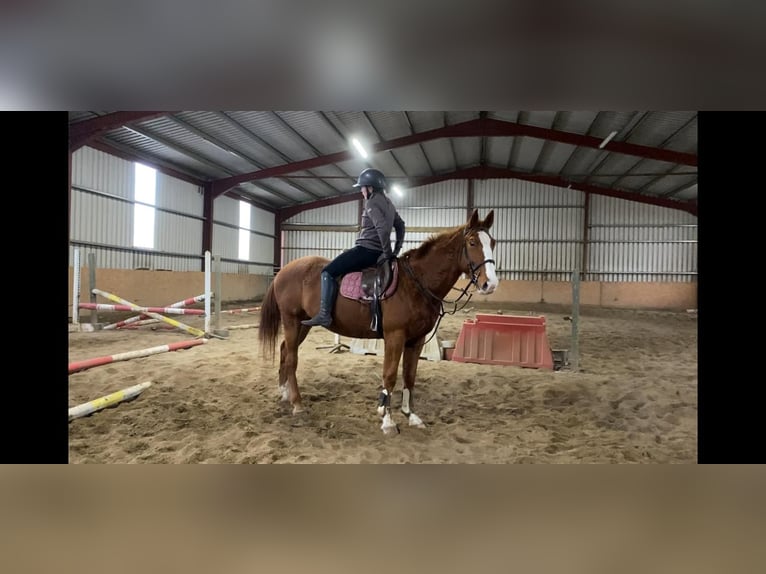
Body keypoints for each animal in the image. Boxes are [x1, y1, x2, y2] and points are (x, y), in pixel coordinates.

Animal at [258, 209, 500, 434]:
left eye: (493, 243)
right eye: (472, 242)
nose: (490, 284)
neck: (414, 283)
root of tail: (284, 270)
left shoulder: (417, 339)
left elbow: (409, 376)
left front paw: (411, 415)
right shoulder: (395, 336)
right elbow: (390, 376)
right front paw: (388, 421)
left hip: (304, 324)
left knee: (284, 350)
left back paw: (285, 393)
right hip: (291, 320)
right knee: (292, 358)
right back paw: (297, 404)